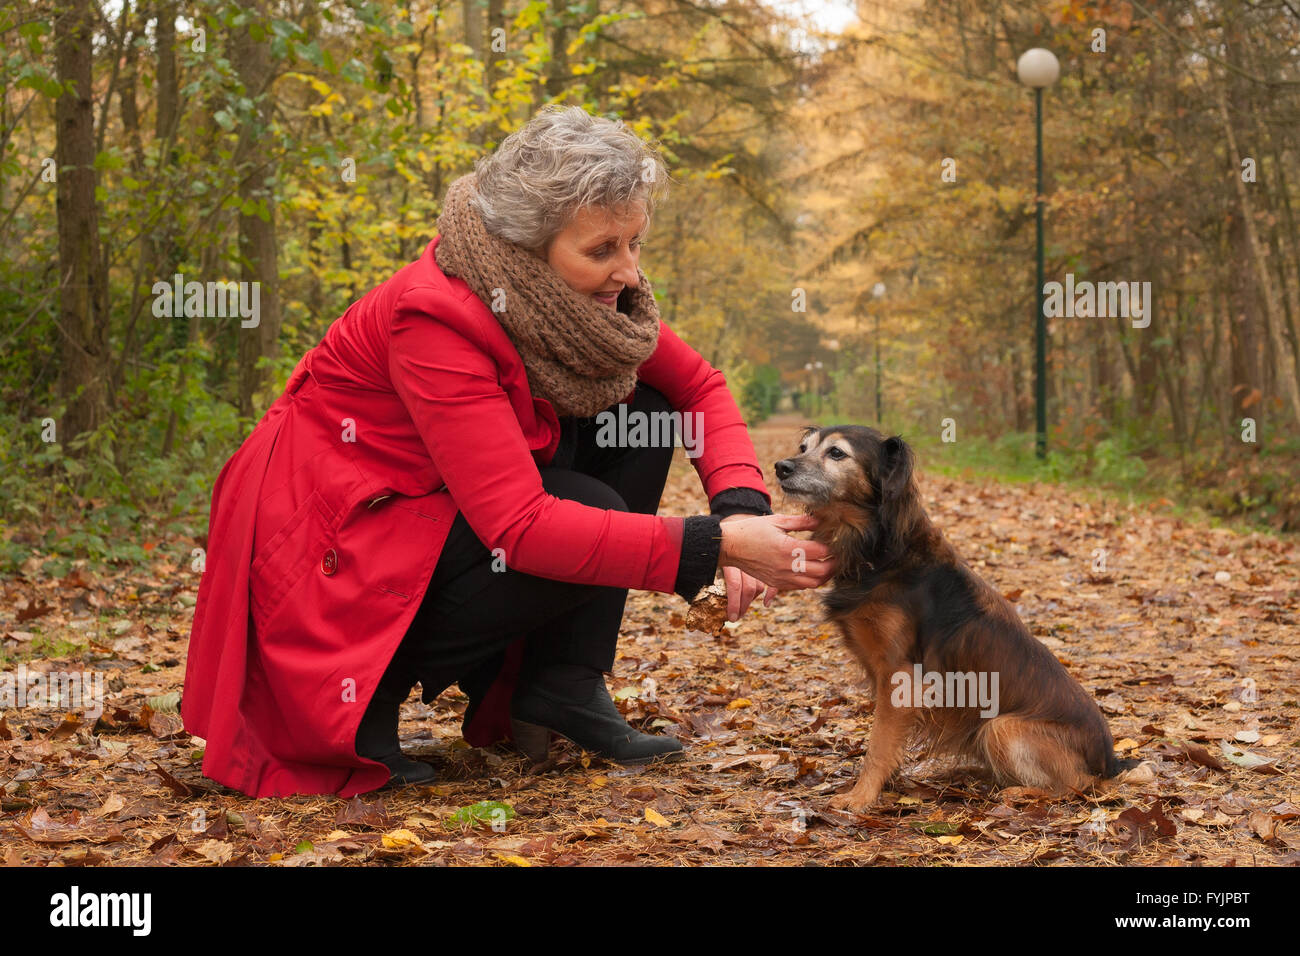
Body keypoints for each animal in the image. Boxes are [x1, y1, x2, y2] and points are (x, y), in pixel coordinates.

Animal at [774, 429, 1133, 811]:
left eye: (837, 453)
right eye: (803, 448)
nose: (781, 467)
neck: (882, 552)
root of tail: (1109, 761)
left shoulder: (901, 675)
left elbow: (878, 746)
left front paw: (860, 796)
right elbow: (889, 743)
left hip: (1002, 728)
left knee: (1077, 784)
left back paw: (1020, 791)